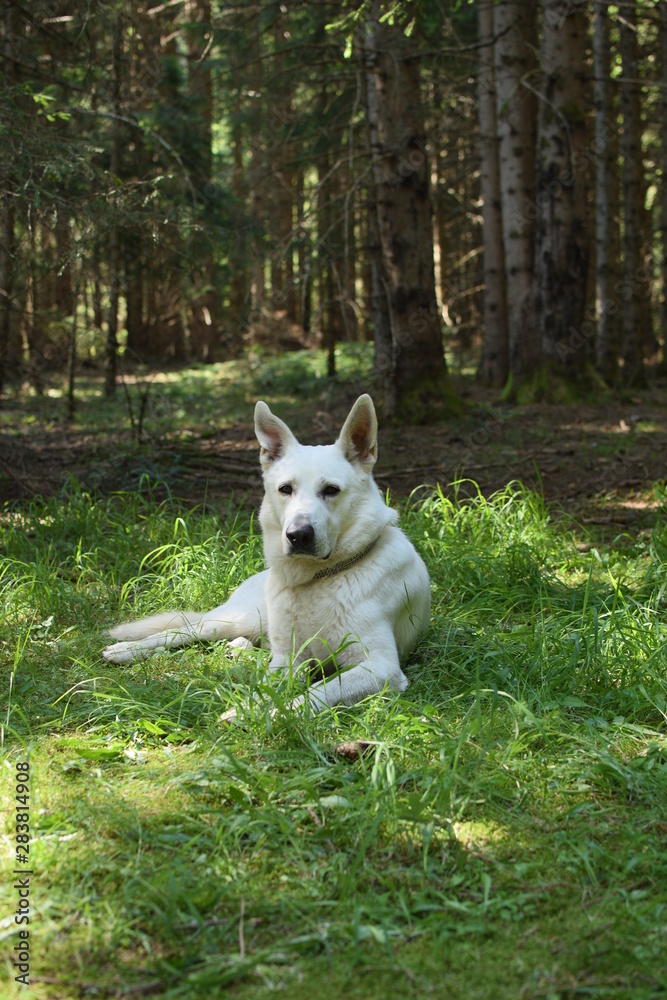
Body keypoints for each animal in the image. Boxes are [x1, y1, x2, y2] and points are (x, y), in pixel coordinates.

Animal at [102, 392, 430, 712]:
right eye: (285, 489)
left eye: (331, 490)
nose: (298, 536)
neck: (317, 579)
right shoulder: (289, 659)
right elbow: (269, 687)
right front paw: (251, 709)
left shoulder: (380, 667)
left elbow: (317, 692)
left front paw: (265, 714)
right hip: (239, 618)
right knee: (185, 630)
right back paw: (126, 650)